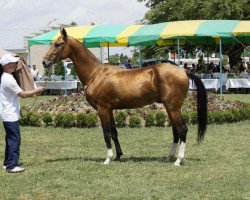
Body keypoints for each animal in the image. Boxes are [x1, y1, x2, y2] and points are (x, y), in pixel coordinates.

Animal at [42, 27, 207, 166]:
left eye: (57, 44)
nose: (44, 62)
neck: (96, 74)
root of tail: (183, 71)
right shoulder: (109, 109)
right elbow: (114, 133)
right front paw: (118, 155)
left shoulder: (102, 109)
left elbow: (106, 133)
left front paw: (107, 158)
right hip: (169, 108)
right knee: (175, 131)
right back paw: (169, 157)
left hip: (173, 108)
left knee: (182, 130)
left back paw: (178, 160)